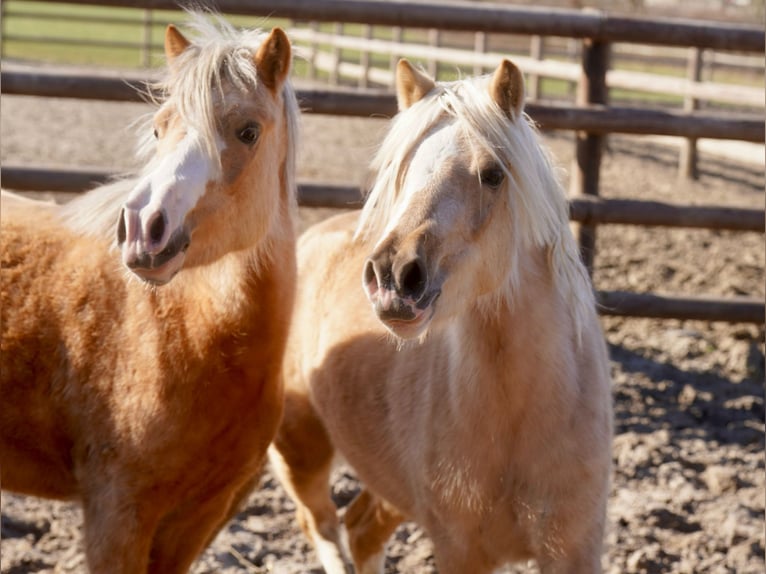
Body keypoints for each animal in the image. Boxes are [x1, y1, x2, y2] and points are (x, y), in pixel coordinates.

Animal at [272, 59, 616, 574]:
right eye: (400, 171)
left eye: (492, 174)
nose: (392, 277)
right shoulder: (459, 549)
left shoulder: (574, 550)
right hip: (302, 451)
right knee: (324, 527)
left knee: (361, 531)